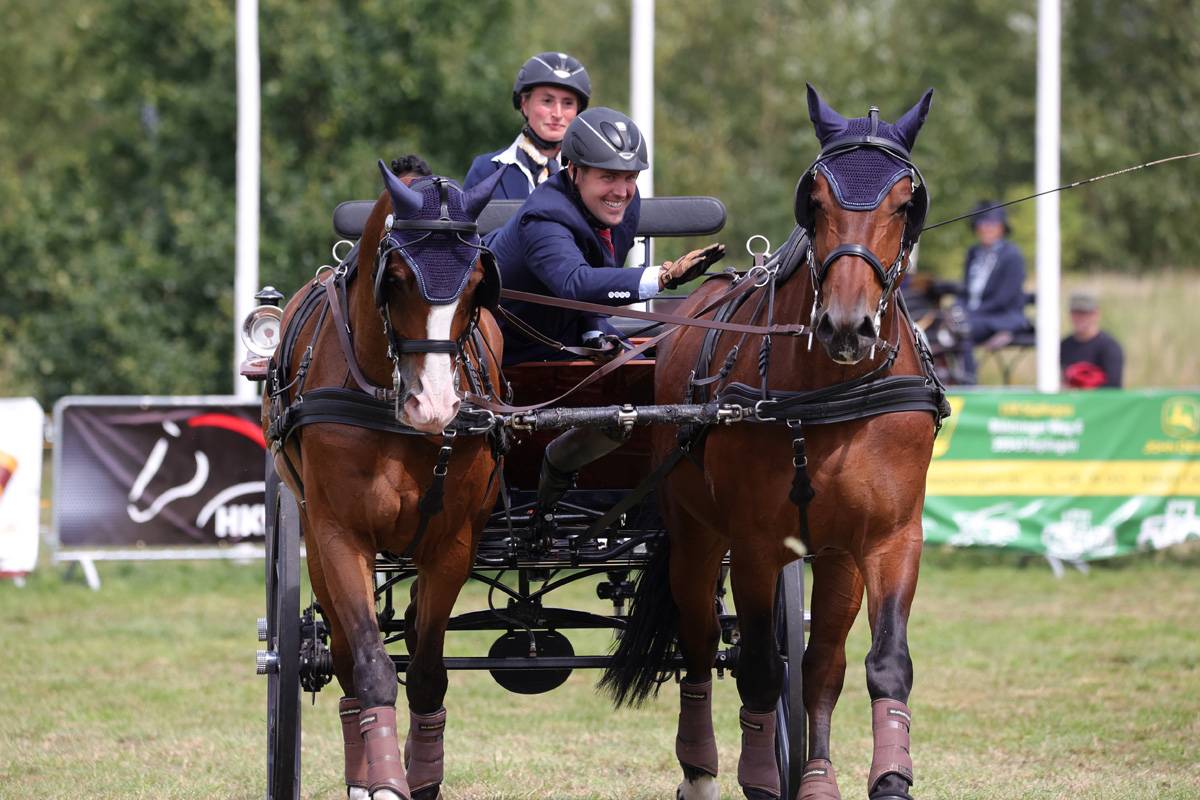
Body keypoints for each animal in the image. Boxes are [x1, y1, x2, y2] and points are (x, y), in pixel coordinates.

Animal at [262, 163, 506, 800]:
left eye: (477, 283)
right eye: (394, 279)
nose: (435, 405)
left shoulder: (452, 543)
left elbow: (425, 673)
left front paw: (421, 777)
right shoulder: (339, 534)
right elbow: (371, 666)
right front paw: (383, 781)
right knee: (345, 660)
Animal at [600, 86, 945, 800]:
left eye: (906, 203)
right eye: (814, 199)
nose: (846, 325)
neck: (827, 396)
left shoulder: (891, 537)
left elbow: (878, 662)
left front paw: (881, 777)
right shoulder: (757, 544)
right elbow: (758, 667)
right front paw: (758, 777)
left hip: (835, 556)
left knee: (821, 662)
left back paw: (811, 774)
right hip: (697, 537)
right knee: (700, 645)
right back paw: (700, 770)